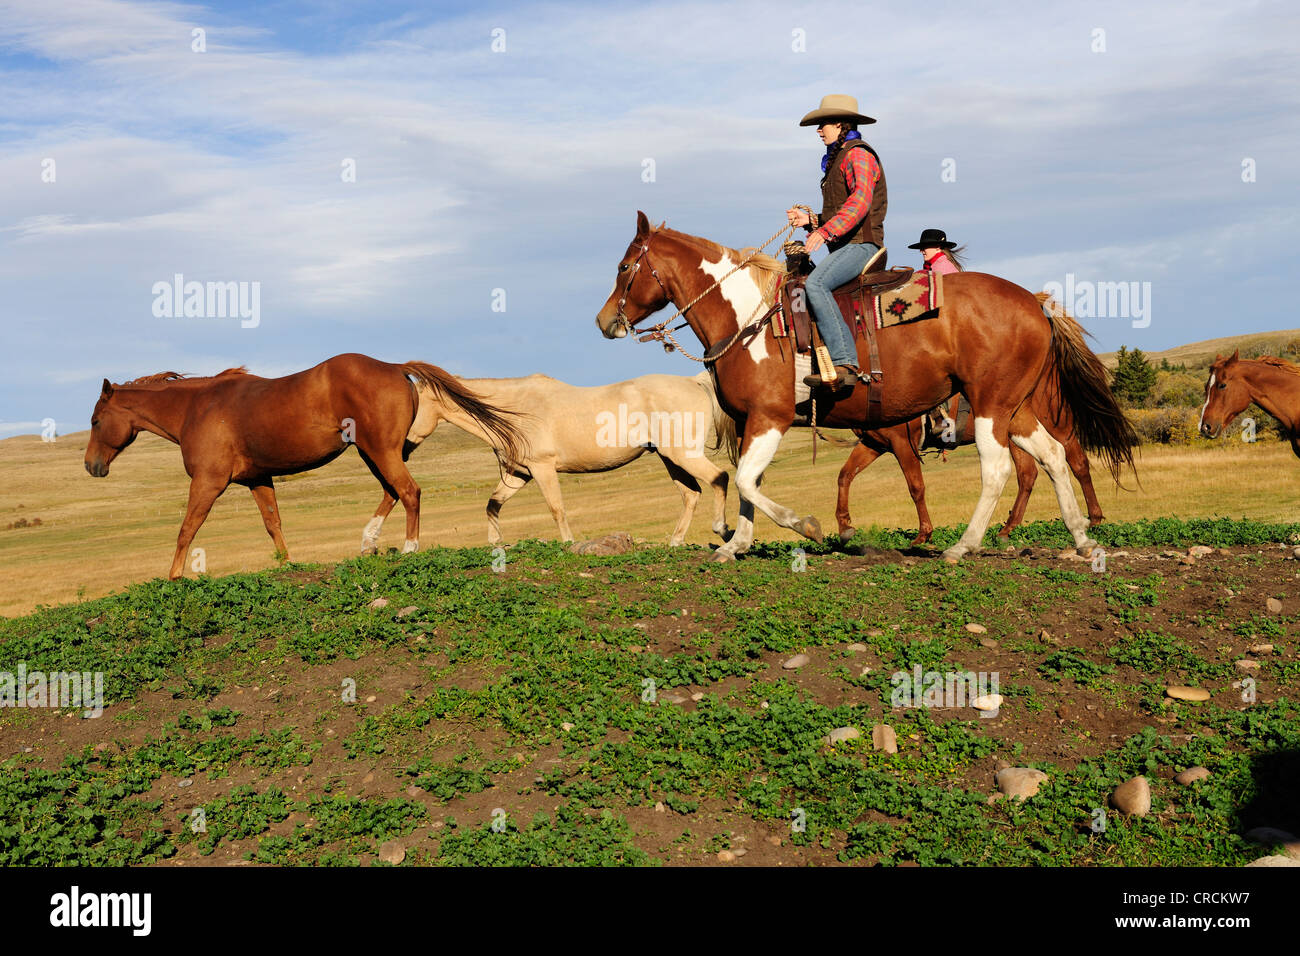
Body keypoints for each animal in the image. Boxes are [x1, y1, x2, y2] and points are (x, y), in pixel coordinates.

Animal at [85, 351, 527, 574]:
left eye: (95, 421)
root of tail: (394, 367)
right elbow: (273, 525)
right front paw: (288, 565)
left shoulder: (209, 482)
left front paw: (174, 577)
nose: (92, 466)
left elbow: (186, 529)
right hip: (375, 452)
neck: (199, 408)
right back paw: (368, 543)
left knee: (409, 491)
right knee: (392, 492)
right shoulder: (258, 479)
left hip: (380, 451)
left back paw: (408, 549)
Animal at [416, 369, 743, 546]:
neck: (515, 409)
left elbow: (556, 509)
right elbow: (493, 504)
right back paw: (675, 542)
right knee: (691, 494)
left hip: (683, 455)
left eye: (414, 402)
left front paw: (568, 543)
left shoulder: (543, 468)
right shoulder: (519, 473)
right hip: (670, 459)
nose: (406, 444)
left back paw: (722, 529)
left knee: (719, 478)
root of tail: (693, 381)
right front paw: (495, 543)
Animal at [832, 385, 1107, 541]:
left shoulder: (902, 445)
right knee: (1028, 474)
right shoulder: (874, 444)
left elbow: (916, 487)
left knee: (1077, 463)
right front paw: (845, 526)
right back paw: (1008, 529)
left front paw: (924, 534)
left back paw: (1094, 518)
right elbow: (845, 475)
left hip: (1055, 425)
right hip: (1016, 435)